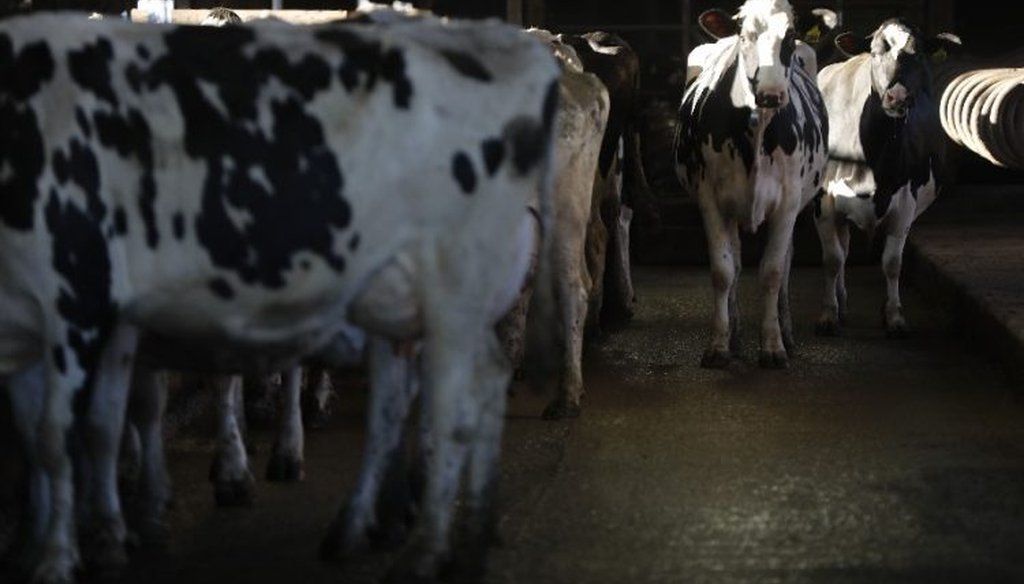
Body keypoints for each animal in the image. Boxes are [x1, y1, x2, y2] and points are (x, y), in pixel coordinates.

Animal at [0, 11, 561, 577]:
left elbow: (79, 429)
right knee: (405, 399)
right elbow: (60, 430)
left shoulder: (89, 304)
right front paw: (73, 530)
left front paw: (88, 540)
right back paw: (388, 520)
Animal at [671, 0, 831, 366]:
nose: (770, 94)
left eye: (791, 35)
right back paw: (735, 334)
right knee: (736, 259)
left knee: (786, 264)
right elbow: (723, 271)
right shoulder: (711, 200)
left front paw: (772, 345)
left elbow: (772, 272)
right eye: (744, 36)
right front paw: (718, 344)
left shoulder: (787, 203)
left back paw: (786, 333)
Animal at [811, 19, 954, 336]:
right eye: (876, 52)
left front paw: (894, 316)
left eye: (919, 53)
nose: (897, 96)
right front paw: (828, 315)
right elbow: (832, 259)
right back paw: (840, 302)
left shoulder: (905, 202)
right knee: (842, 251)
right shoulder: (824, 202)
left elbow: (892, 262)